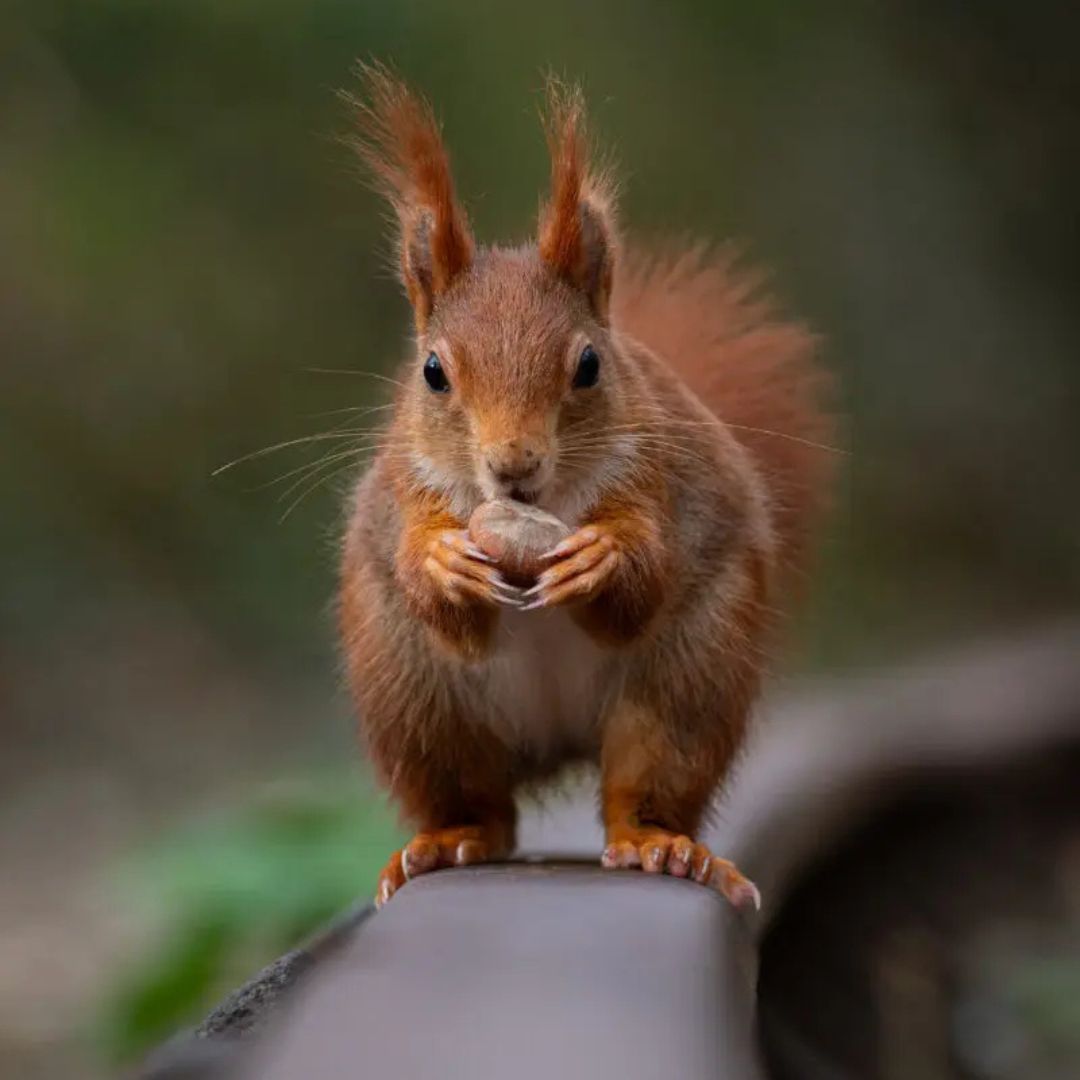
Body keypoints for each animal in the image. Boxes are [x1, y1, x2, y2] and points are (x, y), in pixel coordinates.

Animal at [338, 66, 833, 910]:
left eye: (590, 366)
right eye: (432, 372)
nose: (513, 466)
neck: (538, 509)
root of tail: (559, 743)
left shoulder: (660, 481)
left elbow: (643, 584)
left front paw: (601, 559)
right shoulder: (409, 490)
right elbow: (439, 596)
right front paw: (442, 562)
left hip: (690, 678)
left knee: (642, 785)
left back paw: (663, 848)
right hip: (414, 697)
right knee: (482, 808)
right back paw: (445, 841)